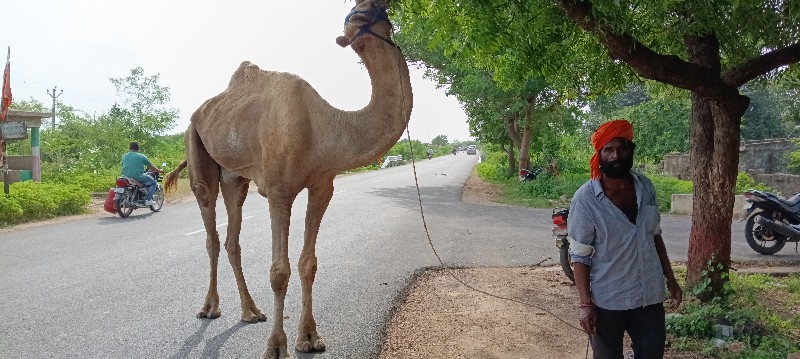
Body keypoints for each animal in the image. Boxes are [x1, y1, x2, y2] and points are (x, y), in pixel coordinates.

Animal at [162, 1, 412, 358]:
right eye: (360, 15)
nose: (381, 6)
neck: (323, 125)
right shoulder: (279, 190)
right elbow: (279, 271)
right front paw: (276, 347)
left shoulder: (322, 186)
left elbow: (309, 263)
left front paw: (309, 338)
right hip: (195, 145)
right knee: (210, 225)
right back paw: (210, 308)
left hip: (236, 178)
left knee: (232, 234)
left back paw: (251, 311)